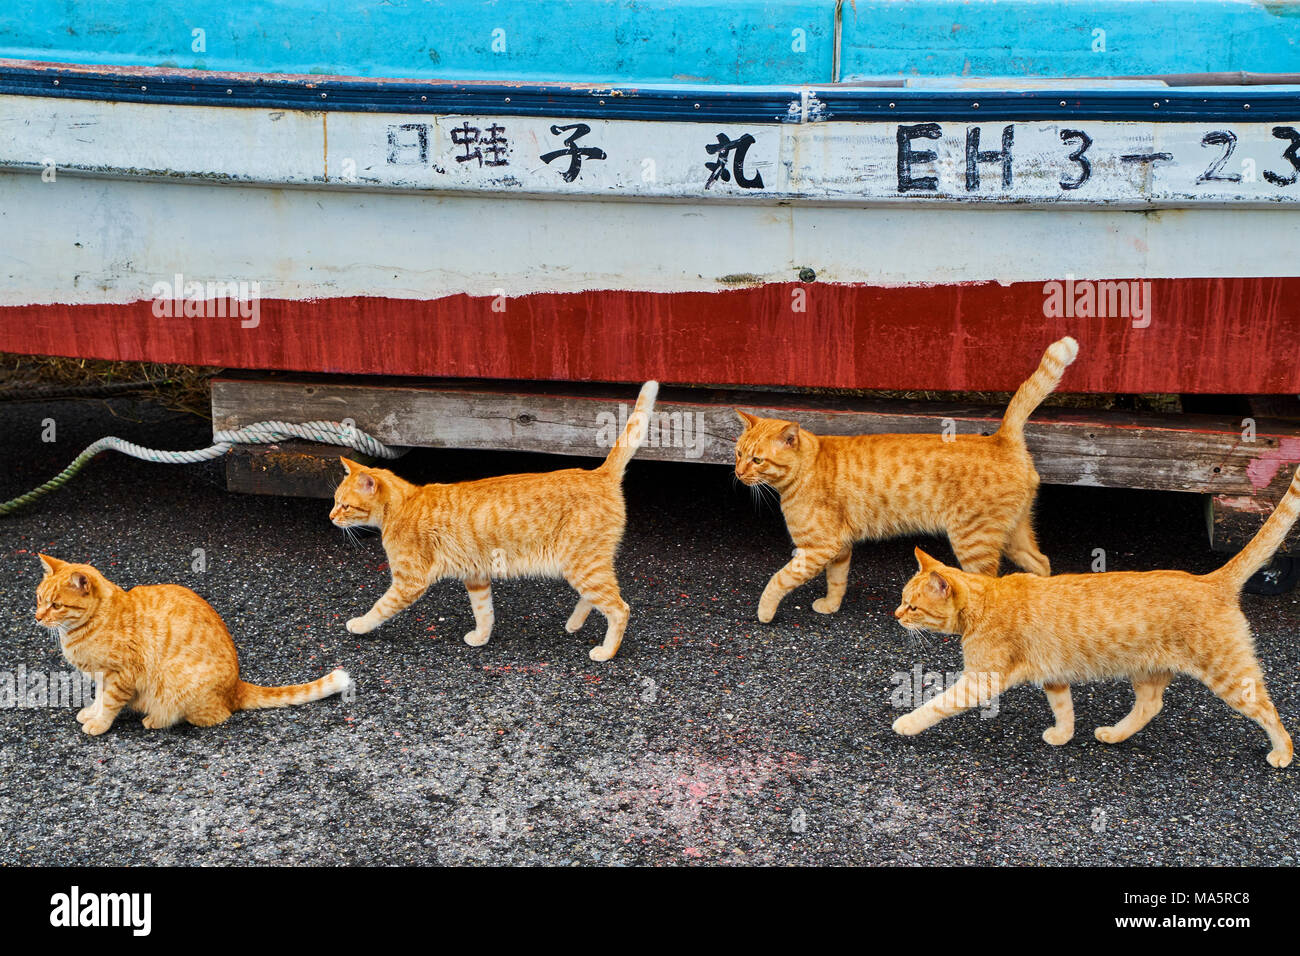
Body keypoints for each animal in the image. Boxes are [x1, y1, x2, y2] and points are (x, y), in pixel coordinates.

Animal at [34, 556, 351, 738]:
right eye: (38, 598)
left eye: (56, 605)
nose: (36, 617)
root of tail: (236, 686)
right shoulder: (102, 676)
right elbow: (99, 698)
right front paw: (92, 712)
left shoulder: (119, 675)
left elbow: (109, 703)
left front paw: (99, 724)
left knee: (214, 717)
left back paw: (157, 720)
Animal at [332, 379, 660, 658]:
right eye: (335, 502)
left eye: (345, 505)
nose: (331, 516)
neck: (404, 505)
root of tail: (599, 474)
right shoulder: (476, 576)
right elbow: (484, 612)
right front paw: (481, 637)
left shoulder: (409, 581)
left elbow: (379, 607)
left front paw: (359, 624)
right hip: (583, 565)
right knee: (598, 598)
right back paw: (574, 624)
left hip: (583, 564)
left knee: (620, 608)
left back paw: (606, 651)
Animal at [733, 335, 1076, 621]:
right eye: (738, 453)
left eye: (757, 459)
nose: (737, 473)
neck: (806, 469)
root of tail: (1002, 438)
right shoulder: (838, 548)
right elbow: (837, 580)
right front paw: (830, 606)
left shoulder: (818, 547)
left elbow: (778, 579)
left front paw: (764, 612)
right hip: (1014, 535)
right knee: (1042, 562)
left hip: (974, 541)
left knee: (988, 584)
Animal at [894, 465, 1300, 770]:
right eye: (902, 600)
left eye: (912, 606)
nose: (896, 615)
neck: (986, 601)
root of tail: (1209, 580)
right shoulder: (1053, 673)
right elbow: (1064, 709)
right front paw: (1063, 735)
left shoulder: (981, 679)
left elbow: (937, 704)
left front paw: (906, 723)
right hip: (1147, 670)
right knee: (1150, 705)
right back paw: (1114, 734)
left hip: (1228, 675)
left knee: (1269, 710)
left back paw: (1283, 752)